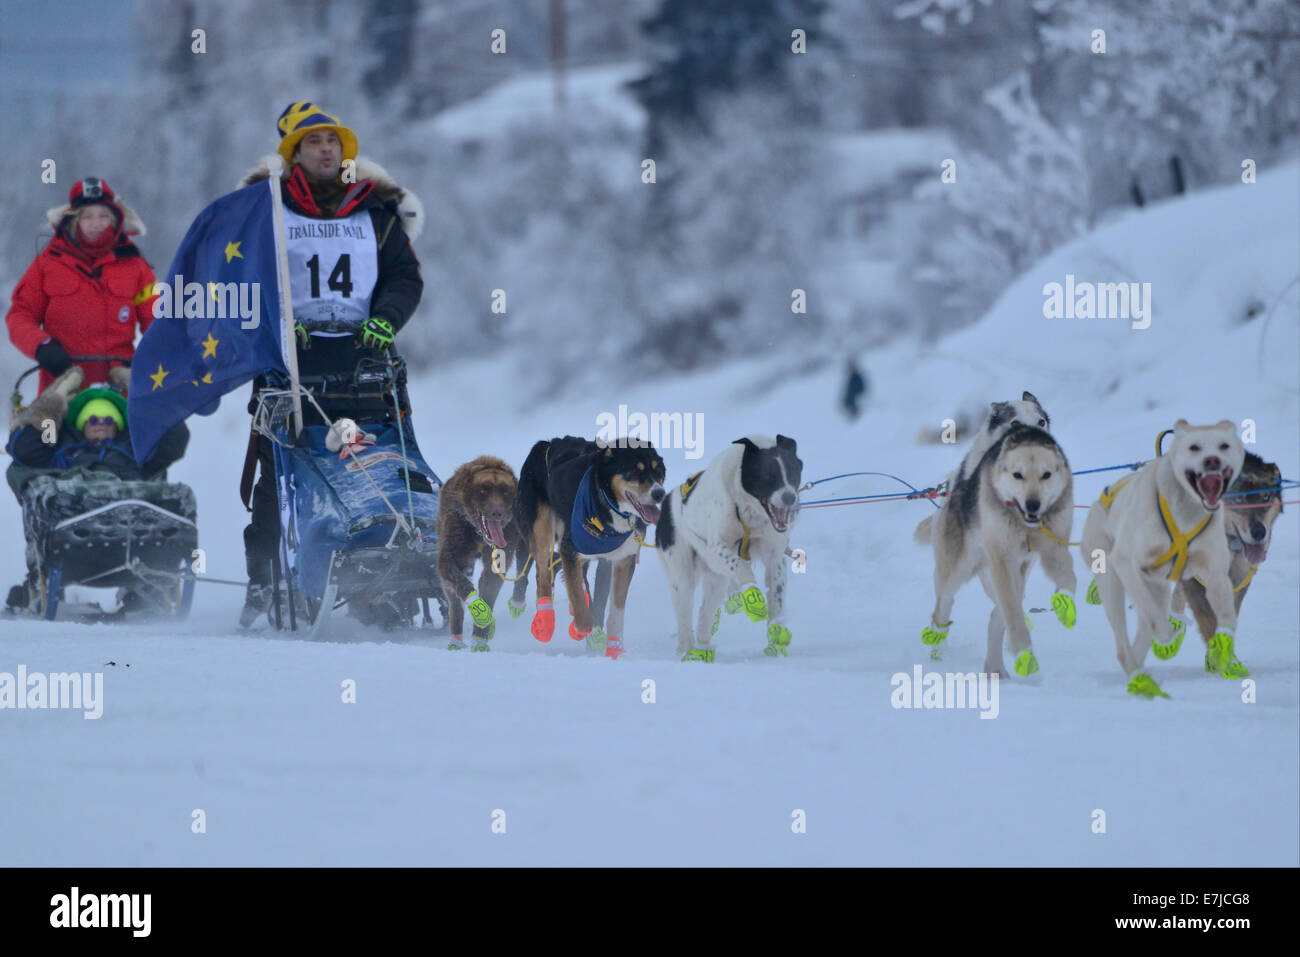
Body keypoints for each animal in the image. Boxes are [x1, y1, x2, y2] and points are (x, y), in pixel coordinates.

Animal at [434, 455, 530, 650]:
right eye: (484, 489)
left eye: (505, 491)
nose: (497, 512)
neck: (478, 534)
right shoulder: (451, 550)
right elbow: (461, 583)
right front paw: (478, 607)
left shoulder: (501, 553)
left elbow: (489, 589)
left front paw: (480, 638)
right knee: (454, 603)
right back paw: (455, 640)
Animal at [512, 434, 665, 657]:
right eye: (635, 470)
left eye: (658, 470)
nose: (659, 493)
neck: (610, 506)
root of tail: (545, 444)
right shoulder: (569, 548)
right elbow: (576, 596)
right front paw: (581, 627)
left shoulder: (624, 558)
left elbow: (616, 608)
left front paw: (615, 647)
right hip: (541, 528)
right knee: (543, 572)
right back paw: (546, 620)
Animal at [660, 436, 800, 660]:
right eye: (768, 475)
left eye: (794, 472)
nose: (790, 497)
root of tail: (666, 502)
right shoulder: (717, 549)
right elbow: (741, 566)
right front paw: (753, 597)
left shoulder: (775, 557)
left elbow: (776, 597)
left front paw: (776, 637)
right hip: (683, 577)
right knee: (684, 617)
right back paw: (688, 650)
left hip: (715, 581)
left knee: (704, 613)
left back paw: (704, 650)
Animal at [1076, 416, 1248, 691]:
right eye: (1194, 447)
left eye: (1223, 446)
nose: (1212, 460)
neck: (1186, 513)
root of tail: (1098, 503)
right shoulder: (1126, 563)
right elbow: (1155, 617)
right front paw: (1169, 635)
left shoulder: (1216, 576)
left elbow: (1227, 617)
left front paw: (1223, 650)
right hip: (1111, 580)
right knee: (1128, 637)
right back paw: (1137, 675)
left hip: (1156, 584)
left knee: (1143, 629)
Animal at [1170, 452, 1279, 647]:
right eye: (1238, 499)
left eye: (1266, 497)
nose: (1260, 532)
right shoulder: (1196, 581)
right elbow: (1210, 625)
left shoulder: (1240, 579)